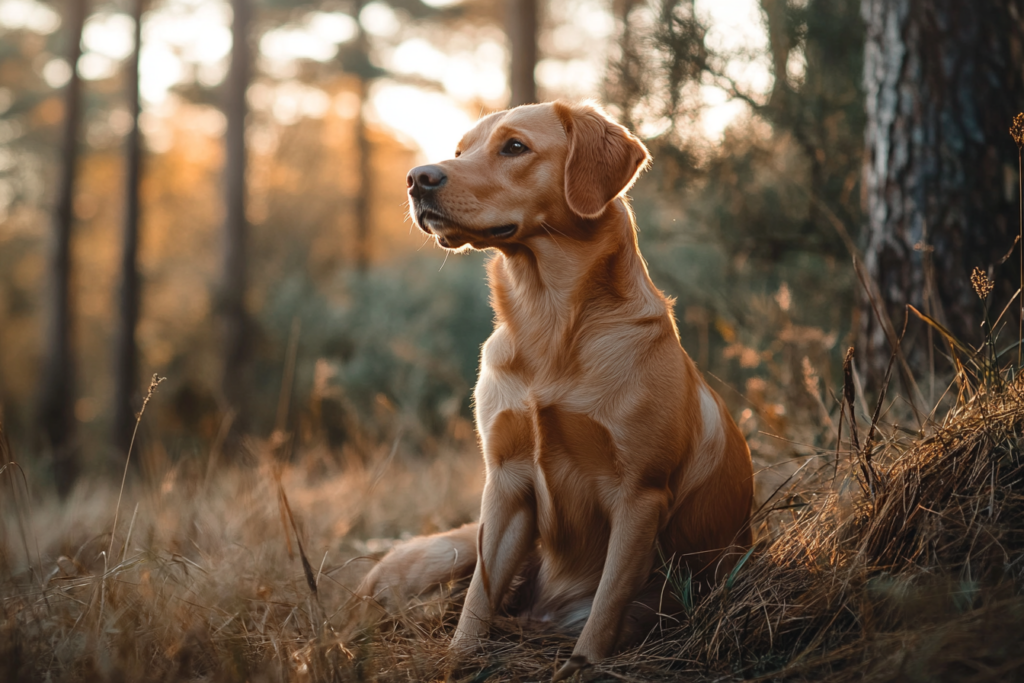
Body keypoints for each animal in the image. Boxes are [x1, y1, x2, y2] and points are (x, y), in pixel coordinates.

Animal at [352, 98, 753, 679]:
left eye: (514, 147)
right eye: (460, 150)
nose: (417, 178)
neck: (547, 320)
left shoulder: (640, 495)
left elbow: (604, 608)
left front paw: (583, 664)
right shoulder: (505, 483)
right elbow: (478, 598)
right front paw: (459, 658)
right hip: (447, 550)